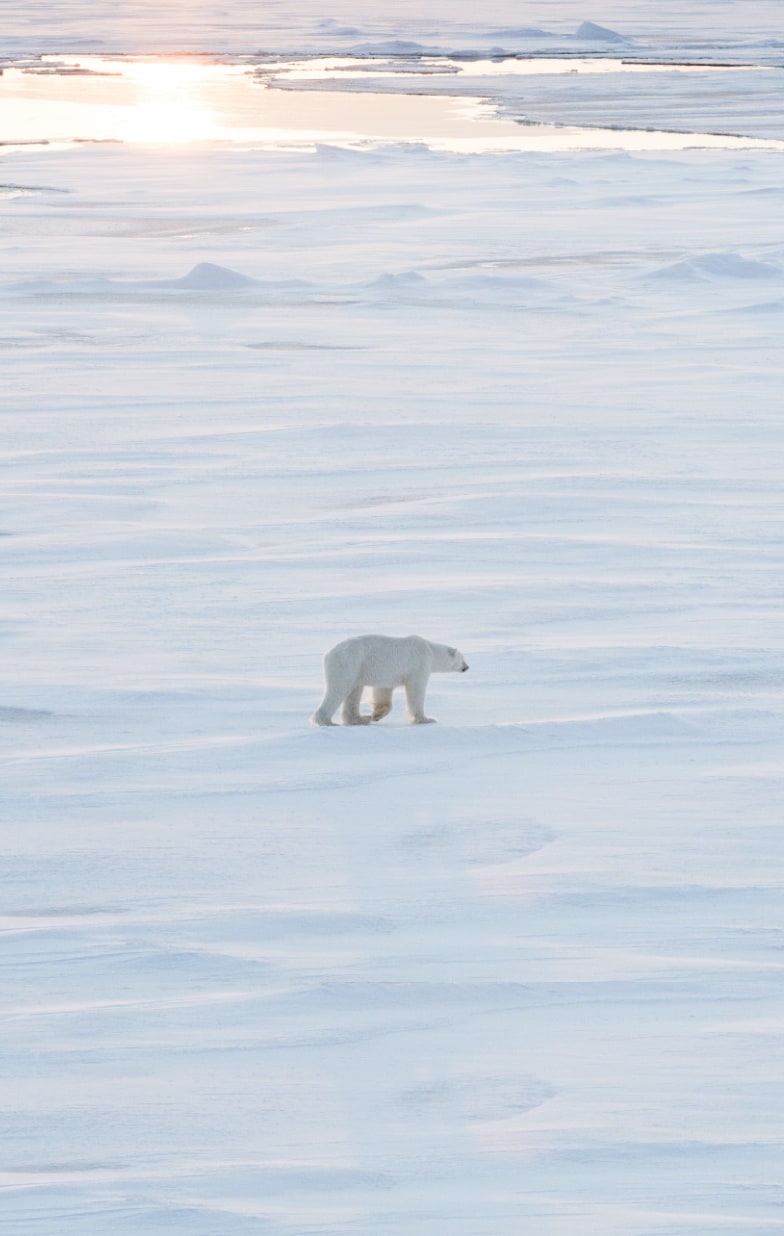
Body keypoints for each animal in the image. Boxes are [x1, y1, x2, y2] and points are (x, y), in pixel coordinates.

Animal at [307, 632, 467, 726]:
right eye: (462, 658)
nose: (467, 667)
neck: (430, 650)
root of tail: (328, 654)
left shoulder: (387, 673)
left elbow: (383, 690)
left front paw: (376, 715)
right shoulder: (419, 665)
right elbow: (416, 690)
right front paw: (426, 719)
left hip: (357, 668)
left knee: (354, 691)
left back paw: (360, 719)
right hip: (347, 663)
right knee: (338, 689)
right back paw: (327, 721)